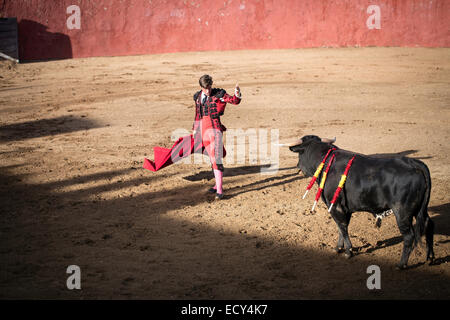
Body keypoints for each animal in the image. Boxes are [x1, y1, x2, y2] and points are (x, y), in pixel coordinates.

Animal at [290, 134, 434, 268]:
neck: (326, 163)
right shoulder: (343, 209)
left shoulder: (335, 206)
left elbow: (342, 227)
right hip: (420, 210)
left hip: (402, 212)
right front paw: (338, 248)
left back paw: (401, 264)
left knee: (409, 236)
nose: (297, 167)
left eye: (299, 155)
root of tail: (413, 163)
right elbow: (340, 227)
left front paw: (348, 251)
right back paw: (430, 258)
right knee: (428, 224)